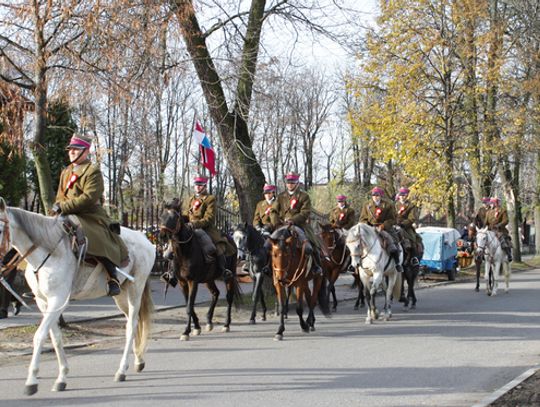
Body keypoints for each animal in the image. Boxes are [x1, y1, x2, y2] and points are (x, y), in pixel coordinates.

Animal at [0, 199, 155, 396]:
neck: (50, 250)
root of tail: (145, 239)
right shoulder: (44, 303)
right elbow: (56, 338)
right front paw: (62, 377)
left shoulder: (57, 300)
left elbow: (40, 336)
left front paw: (32, 381)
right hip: (121, 295)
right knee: (132, 324)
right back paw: (137, 361)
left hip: (136, 288)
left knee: (131, 326)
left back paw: (121, 370)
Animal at [159, 201, 242, 342]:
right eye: (162, 216)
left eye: (175, 218)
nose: (162, 235)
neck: (185, 251)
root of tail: (231, 239)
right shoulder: (182, 283)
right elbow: (189, 305)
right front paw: (197, 327)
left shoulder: (193, 282)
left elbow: (189, 306)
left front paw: (186, 332)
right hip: (208, 279)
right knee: (215, 293)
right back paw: (209, 321)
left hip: (229, 277)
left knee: (229, 297)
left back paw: (226, 325)